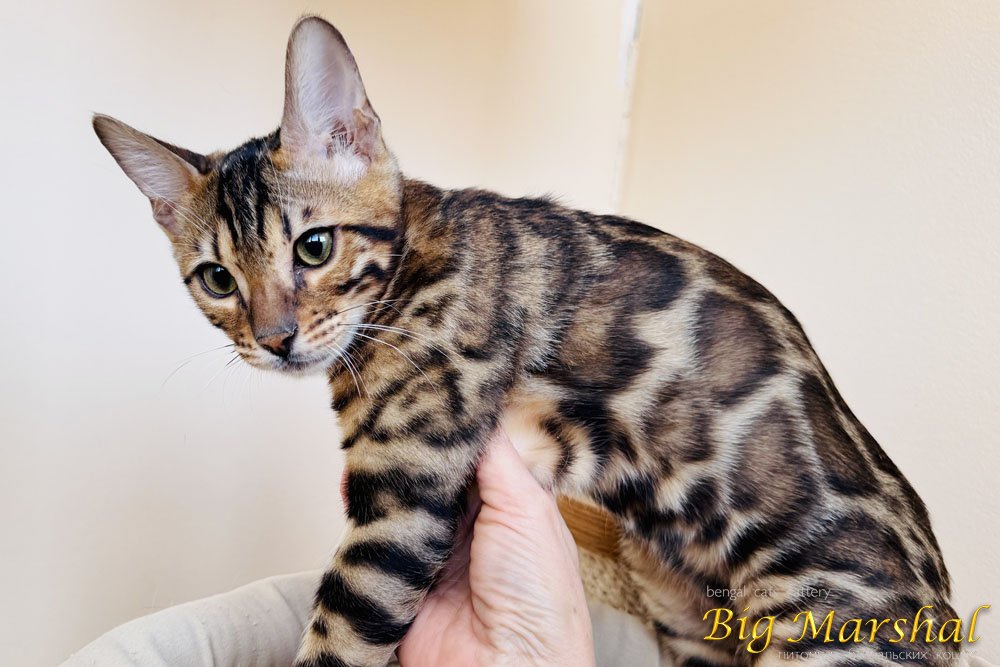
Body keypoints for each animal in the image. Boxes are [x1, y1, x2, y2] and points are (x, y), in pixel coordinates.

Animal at [93, 16, 957, 667]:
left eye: (313, 246)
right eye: (216, 278)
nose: (273, 340)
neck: (408, 274)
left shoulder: (405, 497)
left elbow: (340, 635)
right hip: (677, 603)